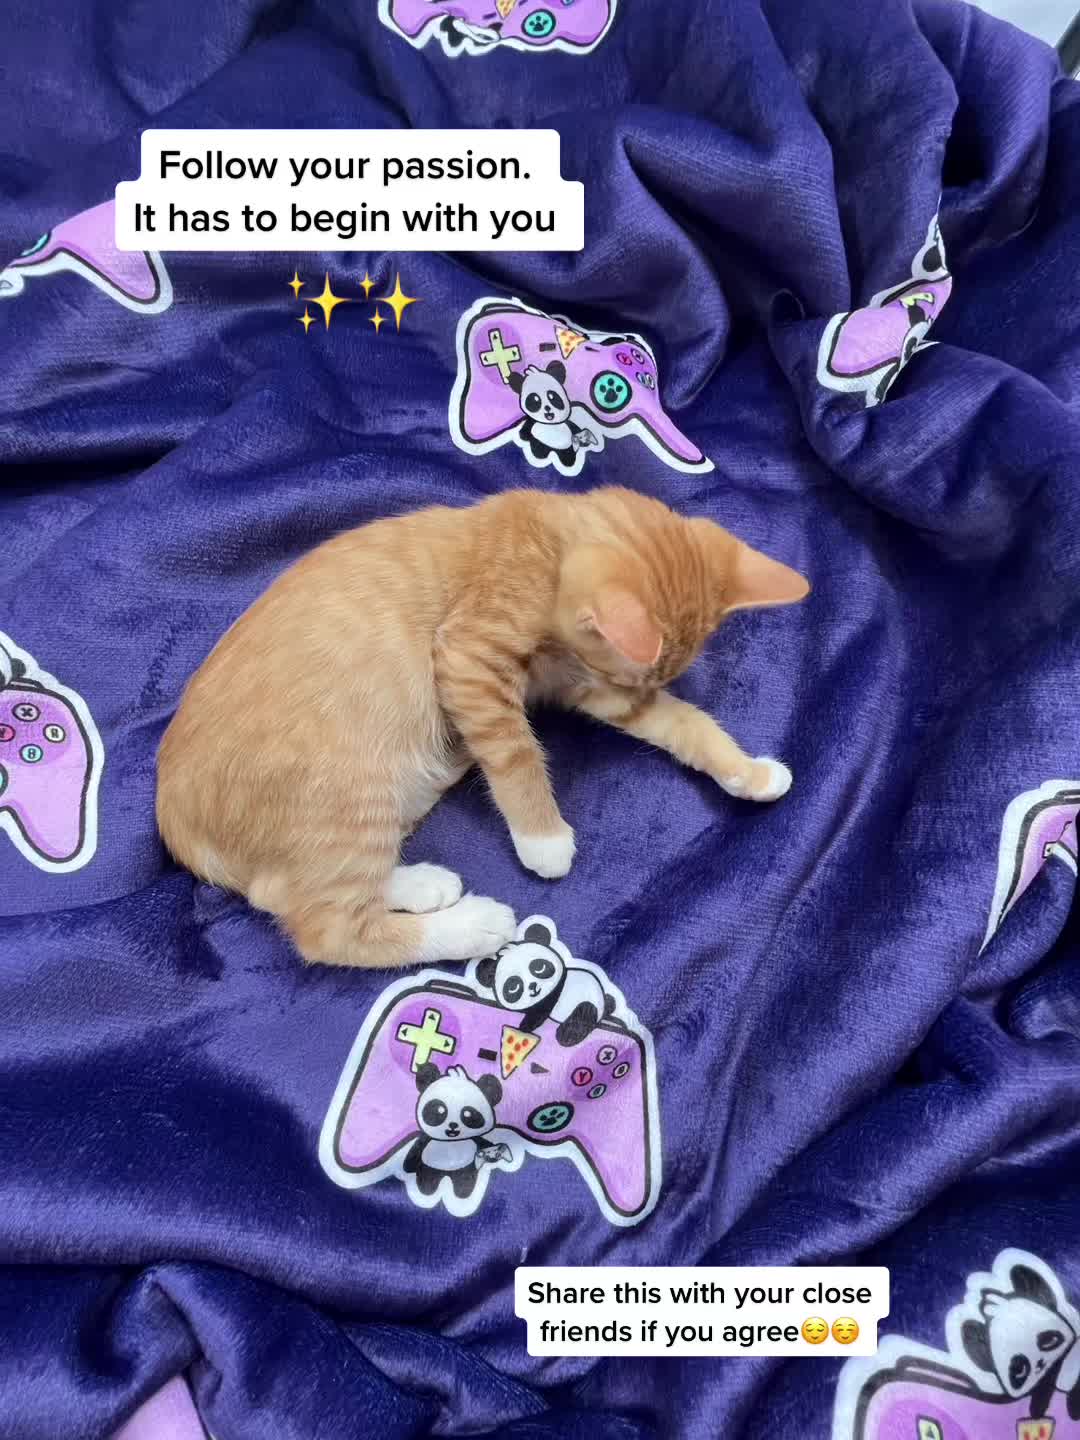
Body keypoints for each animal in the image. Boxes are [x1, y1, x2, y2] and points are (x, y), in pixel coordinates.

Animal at [156, 486, 809, 969]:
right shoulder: (469, 660)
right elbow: (518, 754)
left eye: (643, 684)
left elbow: (686, 723)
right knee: (327, 929)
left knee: (284, 889)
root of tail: (177, 821)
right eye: (618, 671)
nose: (635, 690)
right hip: (350, 791)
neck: (544, 540)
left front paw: (747, 773)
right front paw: (543, 838)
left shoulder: (590, 689)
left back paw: (420, 885)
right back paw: (473, 925)